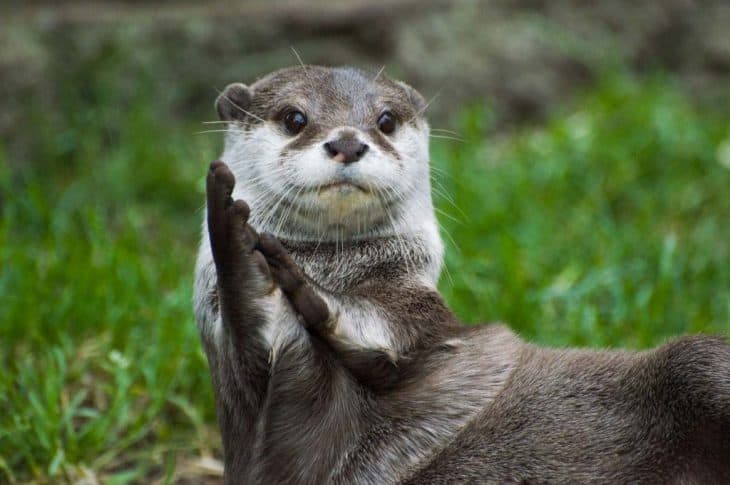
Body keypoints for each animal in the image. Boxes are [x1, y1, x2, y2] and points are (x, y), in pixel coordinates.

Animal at [193, 66, 728, 482]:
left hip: (698, 363)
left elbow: (386, 332)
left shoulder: (422, 317)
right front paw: (240, 244)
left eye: (385, 120)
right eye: (294, 117)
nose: (347, 140)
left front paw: (296, 282)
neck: (339, 269)